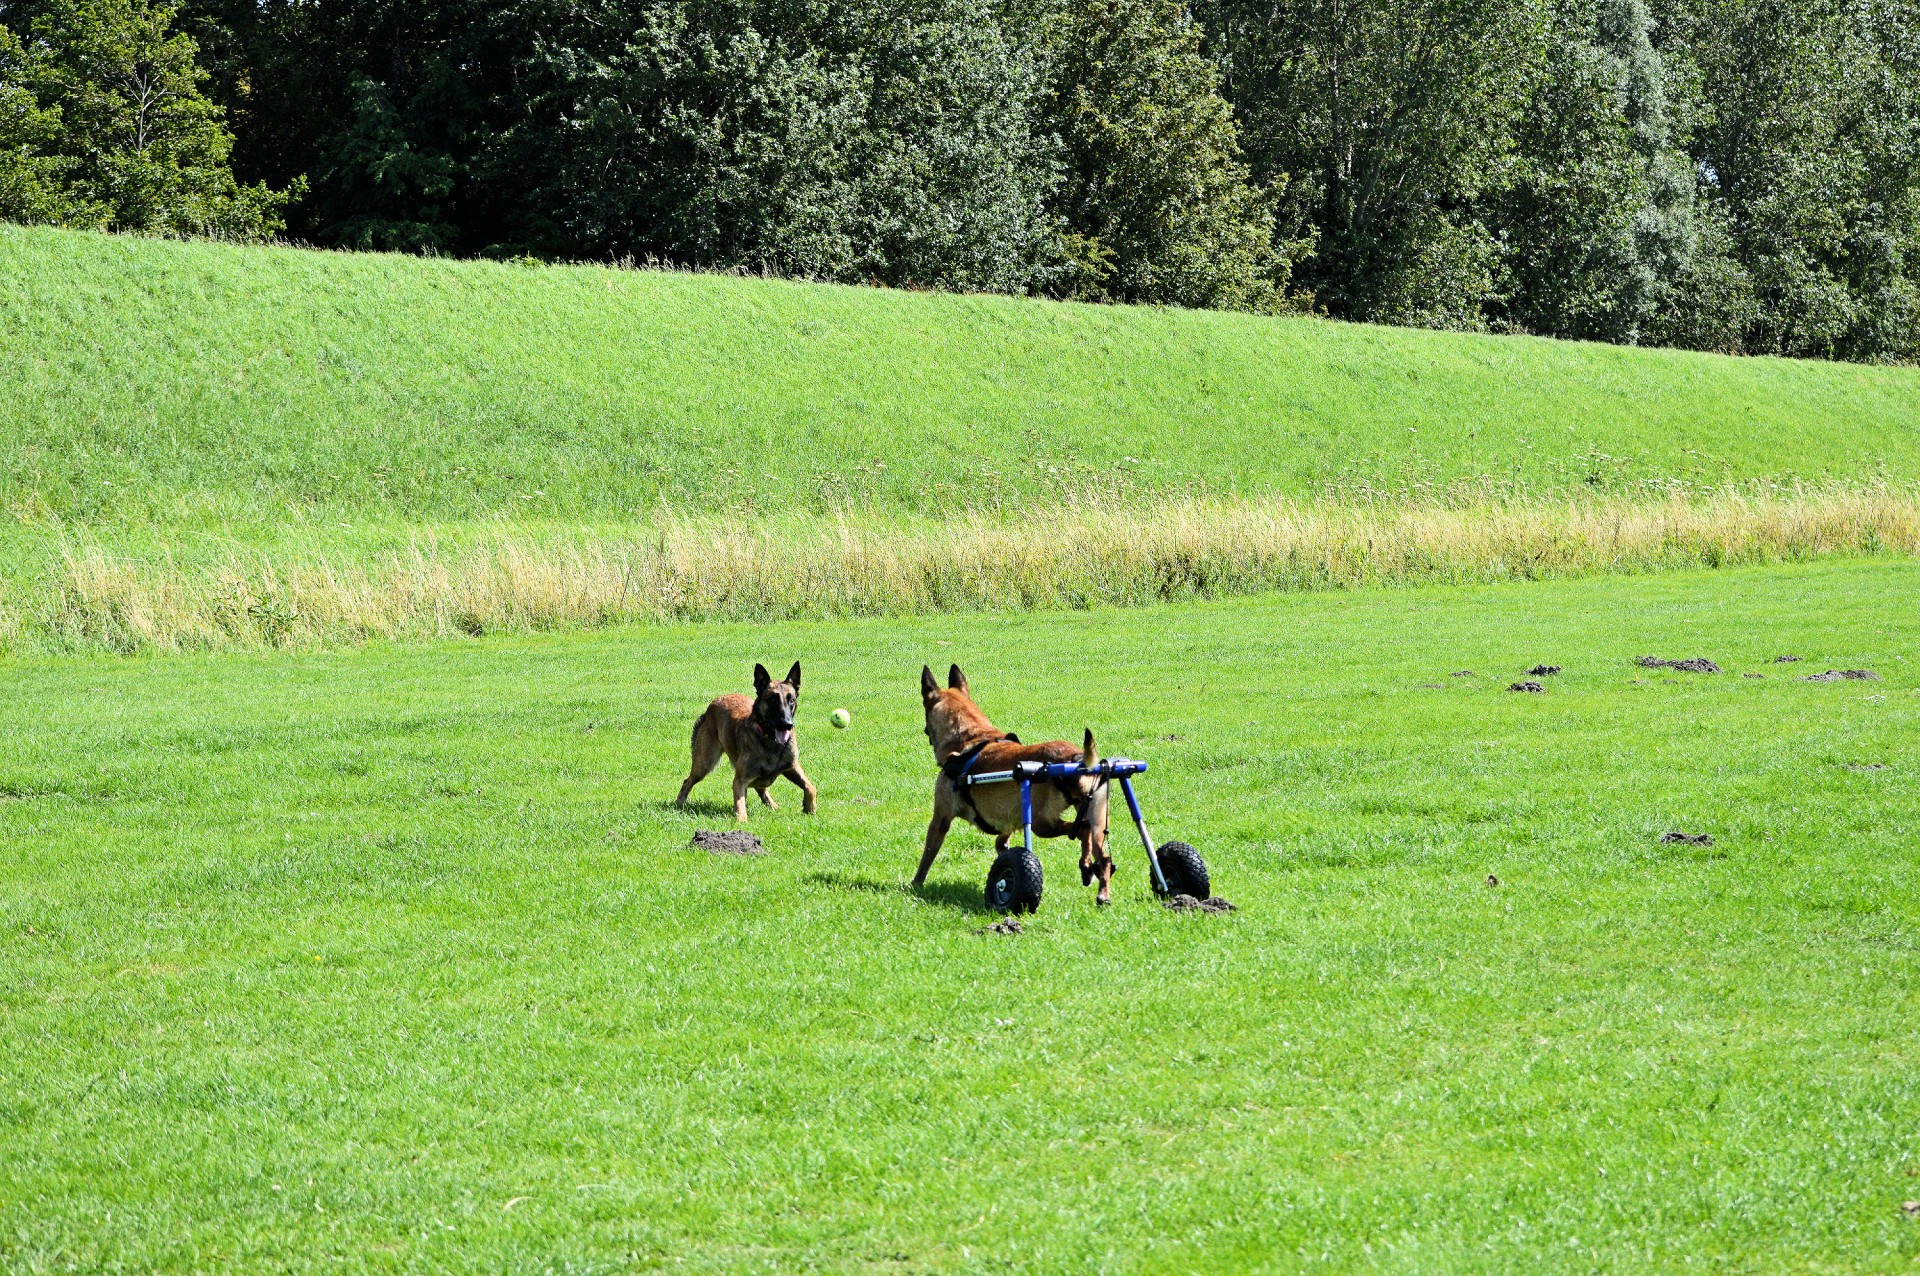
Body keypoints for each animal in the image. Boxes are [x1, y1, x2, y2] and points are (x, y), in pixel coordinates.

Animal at [675, 660, 817, 821]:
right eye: (772, 700)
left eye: (791, 699)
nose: (787, 724)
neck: (770, 740)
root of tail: (711, 706)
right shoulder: (739, 781)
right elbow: (740, 805)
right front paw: (741, 821)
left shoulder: (792, 766)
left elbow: (811, 787)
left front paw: (810, 808)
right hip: (705, 763)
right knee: (687, 781)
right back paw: (679, 803)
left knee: (762, 788)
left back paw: (773, 806)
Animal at [910, 660, 1121, 901]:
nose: (925, 730)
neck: (970, 739)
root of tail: (1077, 759)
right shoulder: (1009, 818)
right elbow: (1001, 841)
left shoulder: (941, 818)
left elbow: (927, 856)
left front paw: (915, 884)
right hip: (1096, 820)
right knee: (1102, 854)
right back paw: (1099, 886)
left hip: (1042, 823)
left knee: (1082, 829)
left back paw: (1086, 868)